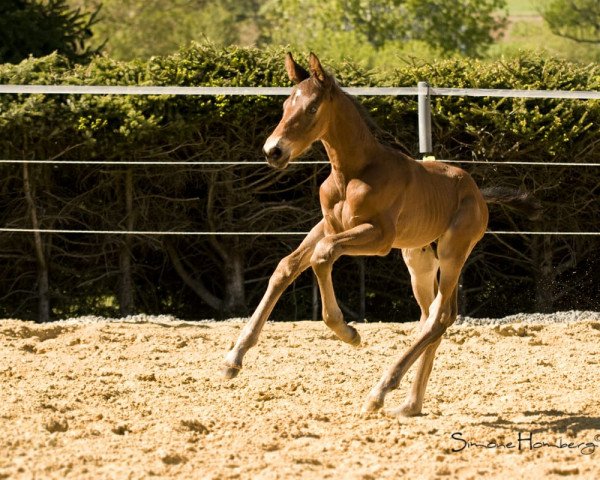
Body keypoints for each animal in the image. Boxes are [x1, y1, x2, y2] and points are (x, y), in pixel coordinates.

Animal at [221, 52, 524, 416]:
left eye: (312, 108)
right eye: (285, 105)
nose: (273, 151)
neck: (350, 173)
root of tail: (478, 194)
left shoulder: (378, 237)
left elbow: (323, 255)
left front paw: (348, 332)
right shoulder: (329, 225)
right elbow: (286, 267)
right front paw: (234, 358)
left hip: (454, 251)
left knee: (439, 317)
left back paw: (381, 391)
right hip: (419, 259)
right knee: (432, 316)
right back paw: (410, 405)